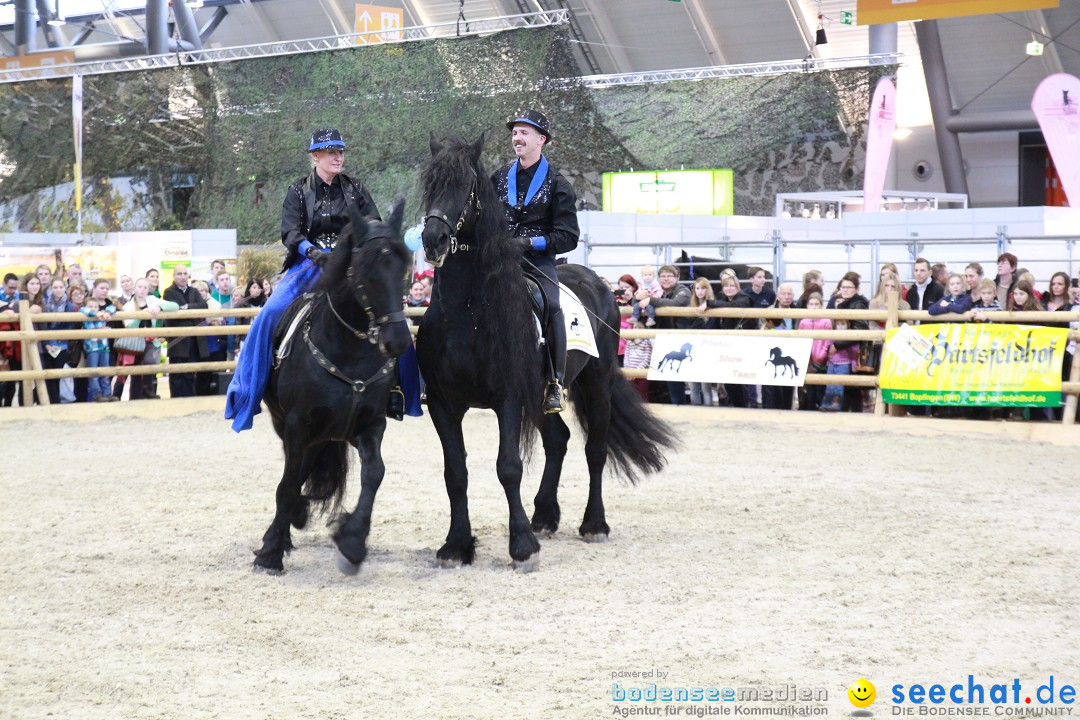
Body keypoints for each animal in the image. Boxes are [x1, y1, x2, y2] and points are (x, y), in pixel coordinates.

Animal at [252, 201, 412, 574]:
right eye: (365, 271)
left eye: (404, 268)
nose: (398, 340)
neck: (349, 351)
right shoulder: (297, 424)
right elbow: (287, 484)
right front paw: (270, 554)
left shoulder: (371, 424)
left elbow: (374, 474)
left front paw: (352, 543)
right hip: (288, 424)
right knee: (294, 473)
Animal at [414, 134, 673, 569]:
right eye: (429, 183)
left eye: (466, 185)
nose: (433, 241)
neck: (467, 314)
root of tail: (597, 283)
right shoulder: (443, 404)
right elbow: (455, 473)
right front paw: (455, 546)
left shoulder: (508, 398)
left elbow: (508, 467)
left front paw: (521, 547)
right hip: (540, 394)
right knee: (559, 440)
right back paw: (545, 516)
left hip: (595, 384)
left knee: (595, 449)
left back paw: (593, 525)